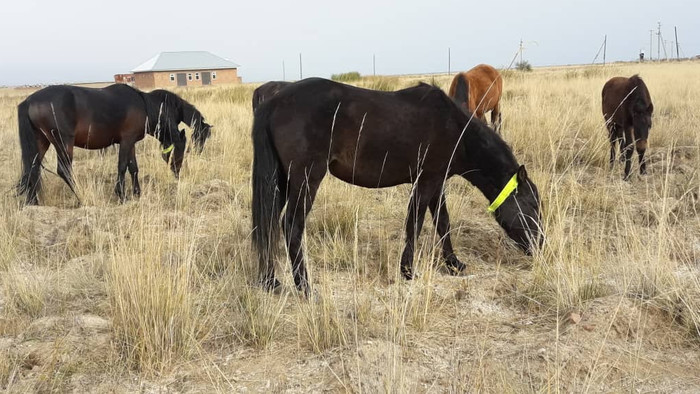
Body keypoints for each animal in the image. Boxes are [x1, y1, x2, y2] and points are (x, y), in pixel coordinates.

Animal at [15, 84, 213, 205]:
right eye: (181, 149)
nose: (177, 172)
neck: (145, 105)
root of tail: (29, 101)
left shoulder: (131, 142)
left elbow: (133, 168)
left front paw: (137, 193)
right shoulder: (126, 141)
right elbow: (123, 166)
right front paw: (122, 195)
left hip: (41, 141)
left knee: (32, 168)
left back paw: (33, 202)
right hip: (63, 142)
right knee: (64, 170)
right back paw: (82, 195)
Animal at [249, 77, 544, 296]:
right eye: (531, 206)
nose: (540, 245)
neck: (456, 130)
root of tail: (274, 101)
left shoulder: (437, 183)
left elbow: (443, 222)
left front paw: (453, 263)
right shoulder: (427, 181)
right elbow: (415, 223)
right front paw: (408, 270)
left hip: (281, 179)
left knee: (268, 222)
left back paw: (271, 281)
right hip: (306, 178)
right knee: (291, 225)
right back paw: (304, 287)